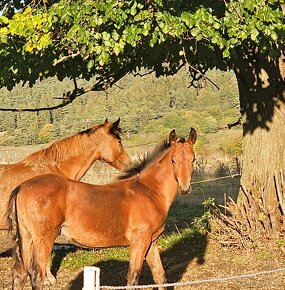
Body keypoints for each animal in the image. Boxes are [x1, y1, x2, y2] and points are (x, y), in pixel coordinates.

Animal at [5, 128, 195, 288]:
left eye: (193, 159)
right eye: (173, 160)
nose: (185, 189)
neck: (149, 190)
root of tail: (21, 187)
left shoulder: (152, 241)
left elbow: (160, 276)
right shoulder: (139, 241)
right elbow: (133, 278)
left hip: (26, 238)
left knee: (20, 273)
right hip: (42, 240)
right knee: (37, 275)